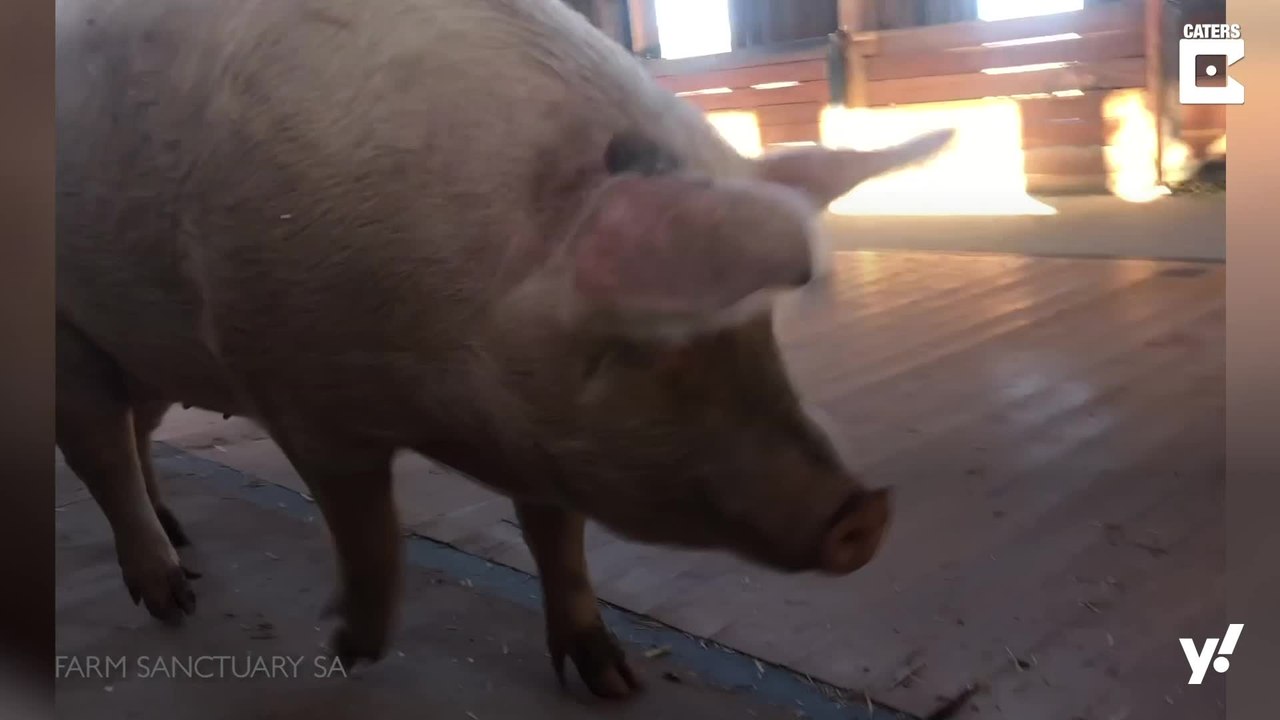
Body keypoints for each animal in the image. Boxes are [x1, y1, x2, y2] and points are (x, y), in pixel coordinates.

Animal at [55, 0, 954, 698]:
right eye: (640, 346)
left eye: (759, 330)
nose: (865, 512)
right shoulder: (293, 384)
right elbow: (368, 528)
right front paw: (341, 652)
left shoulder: (539, 436)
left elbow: (557, 534)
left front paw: (615, 683)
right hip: (70, 329)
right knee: (98, 449)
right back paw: (174, 598)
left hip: (145, 349)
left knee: (135, 434)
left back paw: (183, 542)